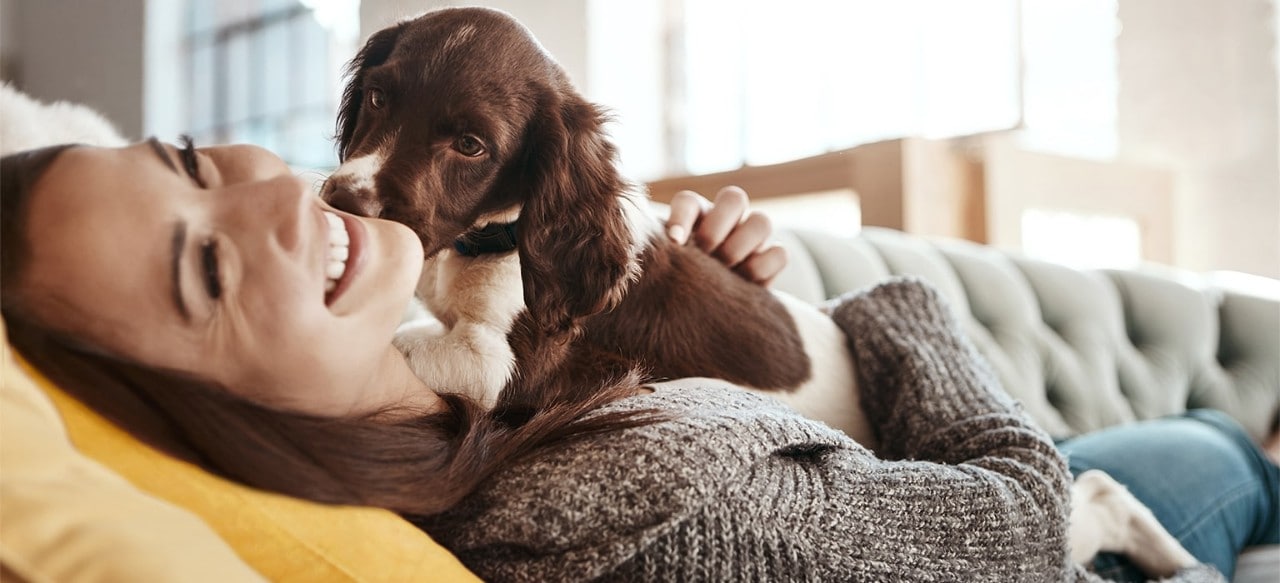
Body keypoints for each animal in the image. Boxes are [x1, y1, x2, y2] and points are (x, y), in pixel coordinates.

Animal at [322, 5, 880, 448]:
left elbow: (399, 341)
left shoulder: (513, 368)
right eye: (377, 97)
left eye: (470, 145)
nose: (343, 202)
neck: (485, 241)